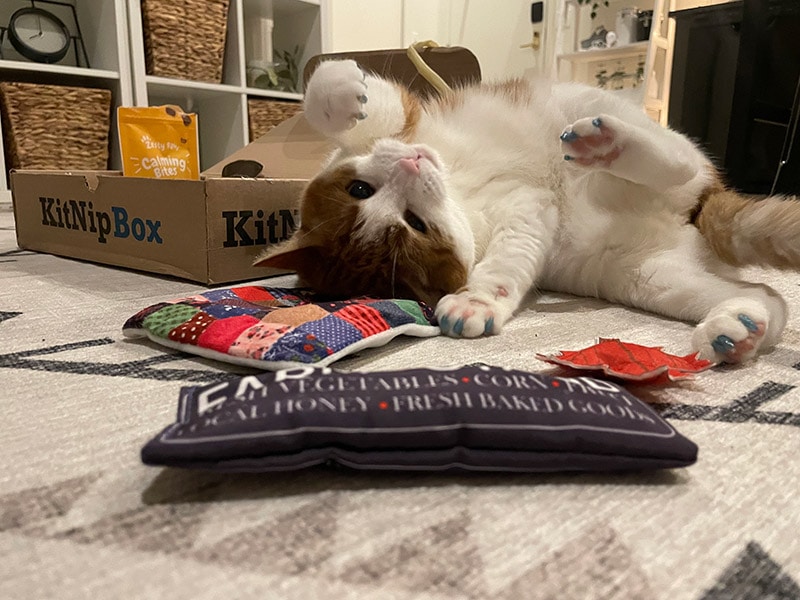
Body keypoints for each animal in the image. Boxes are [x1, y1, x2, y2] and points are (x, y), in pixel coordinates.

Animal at [256, 58, 800, 364]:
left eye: (360, 187)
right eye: (415, 224)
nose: (412, 164)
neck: (460, 188)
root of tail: (705, 201)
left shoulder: (409, 123)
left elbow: (348, 105)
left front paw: (342, 91)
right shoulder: (527, 213)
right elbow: (505, 265)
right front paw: (477, 303)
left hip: (598, 121)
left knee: (679, 159)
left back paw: (607, 143)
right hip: (647, 276)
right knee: (769, 296)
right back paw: (738, 328)